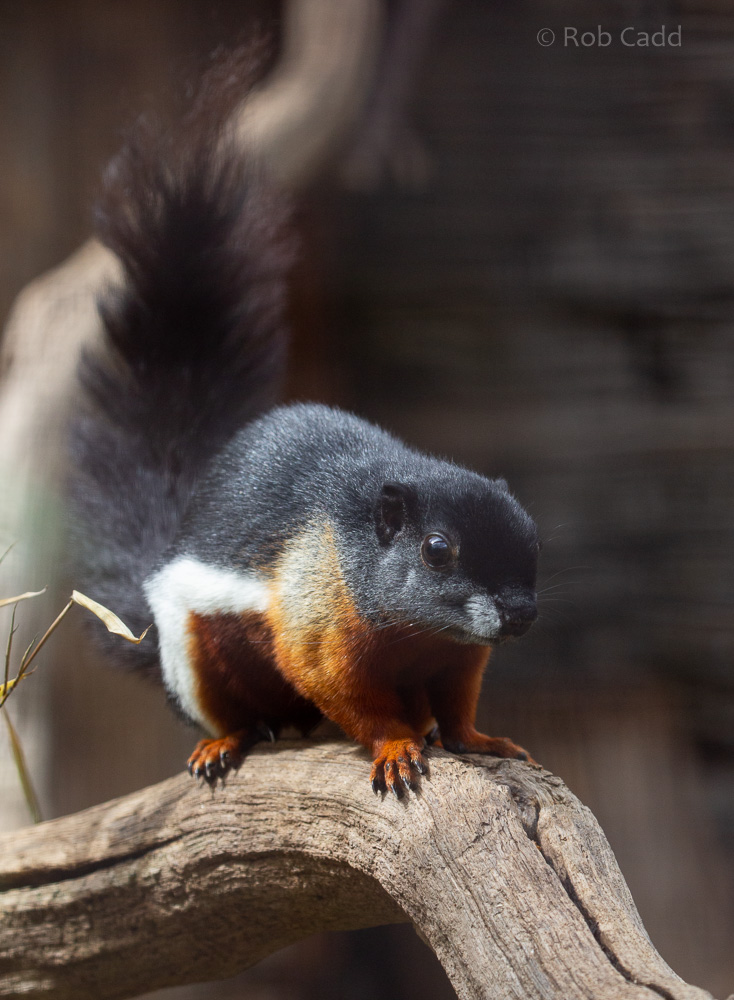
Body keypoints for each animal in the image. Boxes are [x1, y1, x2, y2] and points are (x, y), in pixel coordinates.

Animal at [68, 50, 540, 798]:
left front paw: (478, 738)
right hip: (192, 654)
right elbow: (351, 696)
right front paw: (396, 747)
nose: (520, 613)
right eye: (436, 550)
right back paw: (223, 743)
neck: (417, 631)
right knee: (231, 712)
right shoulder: (318, 626)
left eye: (534, 538)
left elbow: (459, 706)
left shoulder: (457, 656)